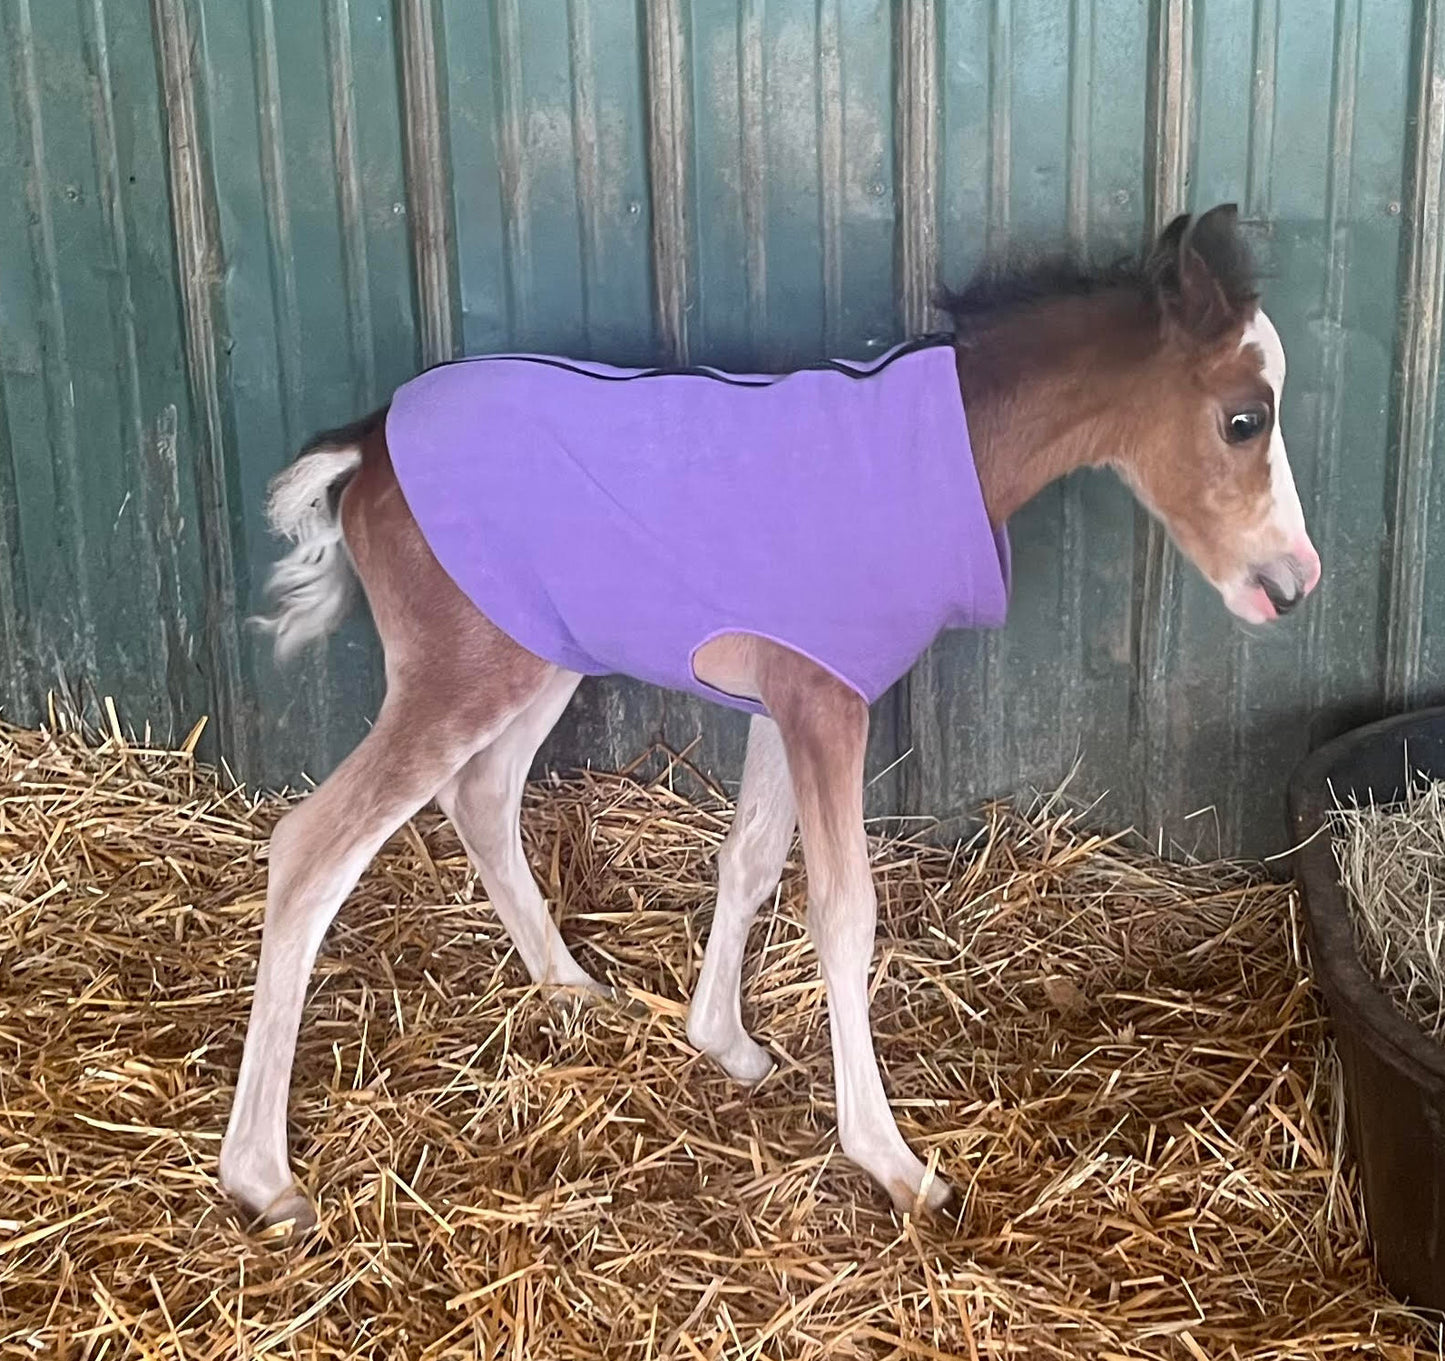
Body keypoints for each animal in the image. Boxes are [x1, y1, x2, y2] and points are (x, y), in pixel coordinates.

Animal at [216, 205, 1323, 1236]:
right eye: (1242, 418)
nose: (1293, 583)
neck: (937, 455)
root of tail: (366, 442)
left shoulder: (784, 693)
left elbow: (748, 859)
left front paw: (724, 1043)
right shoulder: (825, 699)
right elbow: (843, 909)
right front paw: (894, 1163)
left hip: (539, 653)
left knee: (481, 794)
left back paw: (570, 985)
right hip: (463, 671)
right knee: (312, 847)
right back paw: (264, 1178)